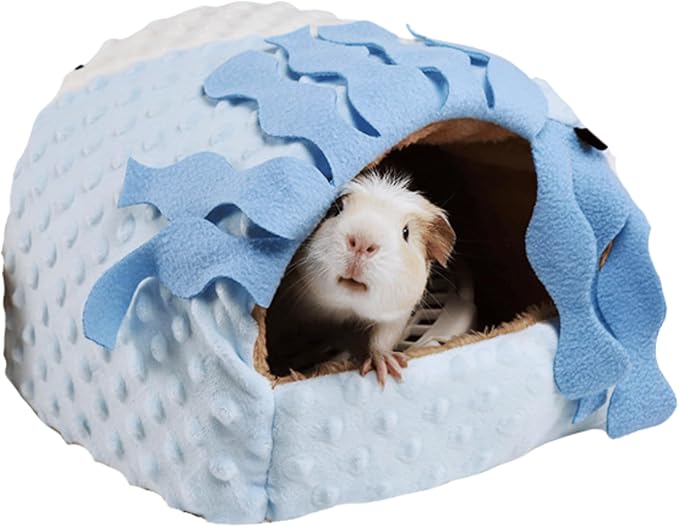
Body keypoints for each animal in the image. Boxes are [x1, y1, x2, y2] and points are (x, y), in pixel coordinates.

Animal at [266, 168, 456, 386]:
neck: (342, 308)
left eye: (406, 232)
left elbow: (382, 340)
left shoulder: (396, 317)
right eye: (337, 209)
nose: (362, 242)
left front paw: (387, 367)